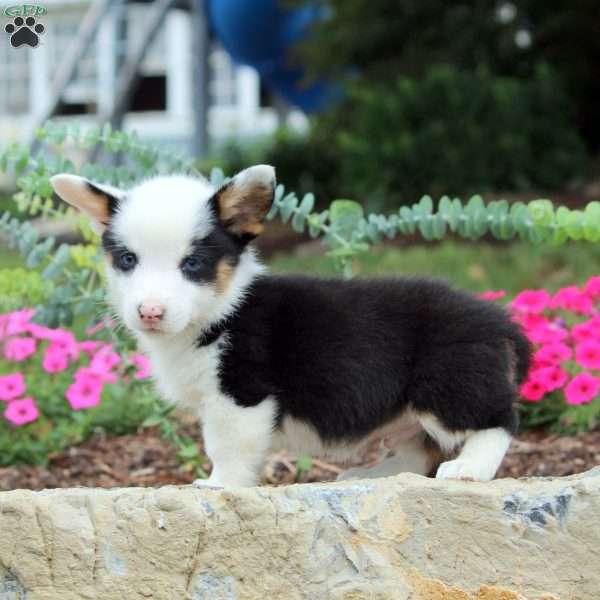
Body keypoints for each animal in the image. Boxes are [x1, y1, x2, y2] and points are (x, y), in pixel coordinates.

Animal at [51, 164, 528, 488]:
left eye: (192, 264)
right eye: (127, 260)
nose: (149, 311)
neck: (219, 311)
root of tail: (495, 318)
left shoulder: (239, 395)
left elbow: (226, 448)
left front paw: (218, 485)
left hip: (444, 387)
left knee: (498, 422)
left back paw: (469, 468)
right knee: (418, 452)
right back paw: (373, 475)